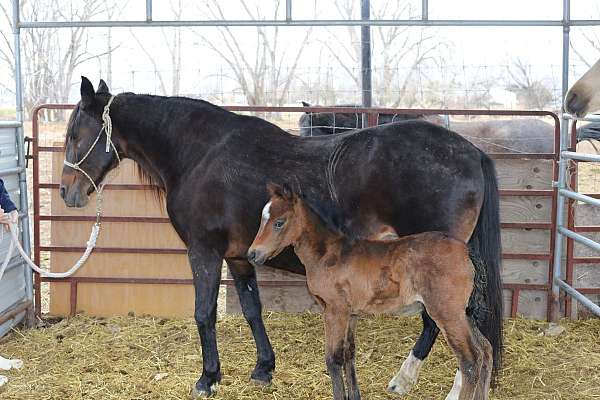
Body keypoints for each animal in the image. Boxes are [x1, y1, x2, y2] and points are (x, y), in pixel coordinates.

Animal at [248, 185, 492, 400]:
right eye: (261, 219)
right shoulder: (351, 314)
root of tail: (466, 251)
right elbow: (349, 354)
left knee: (470, 360)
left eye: (279, 222)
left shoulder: (334, 310)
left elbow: (333, 359)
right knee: (485, 351)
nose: (252, 254)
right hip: (464, 313)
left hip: (447, 313)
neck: (328, 254)